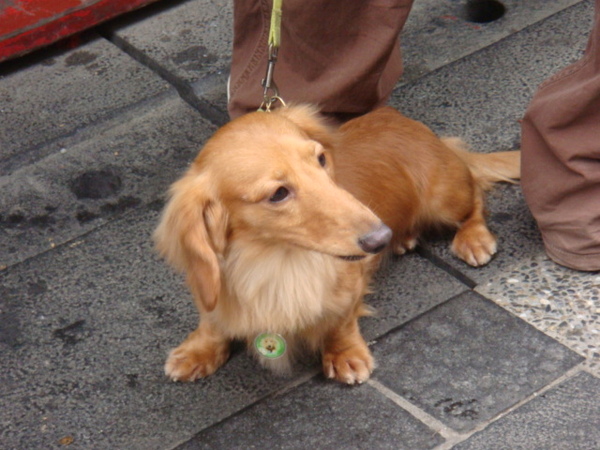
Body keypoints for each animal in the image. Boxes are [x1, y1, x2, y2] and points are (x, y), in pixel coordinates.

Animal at [155, 104, 520, 384]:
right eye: (278, 193)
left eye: (320, 159)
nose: (380, 238)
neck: (274, 261)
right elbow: (211, 322)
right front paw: (197, 351)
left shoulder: (349, 285)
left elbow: (340, 323)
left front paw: (345, 354)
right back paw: (404, 238)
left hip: (446, 198)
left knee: (476, 198)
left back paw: (472, 238)